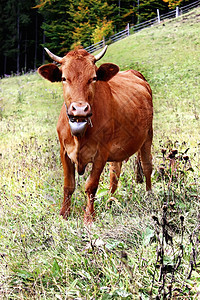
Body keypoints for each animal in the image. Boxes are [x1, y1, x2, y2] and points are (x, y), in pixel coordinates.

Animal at [38, 45, 153, 221]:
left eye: (93, 78)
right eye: (64, 78)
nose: (79, 109)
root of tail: (133, 72)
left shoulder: (101, 153)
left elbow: (91, 186)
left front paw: (89, 217)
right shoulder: (64, 151)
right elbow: (68, 185)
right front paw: (64, 214)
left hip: (148, 135)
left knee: (147, 166)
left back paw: (148, 196)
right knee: (115, 175)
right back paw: (110, 201)